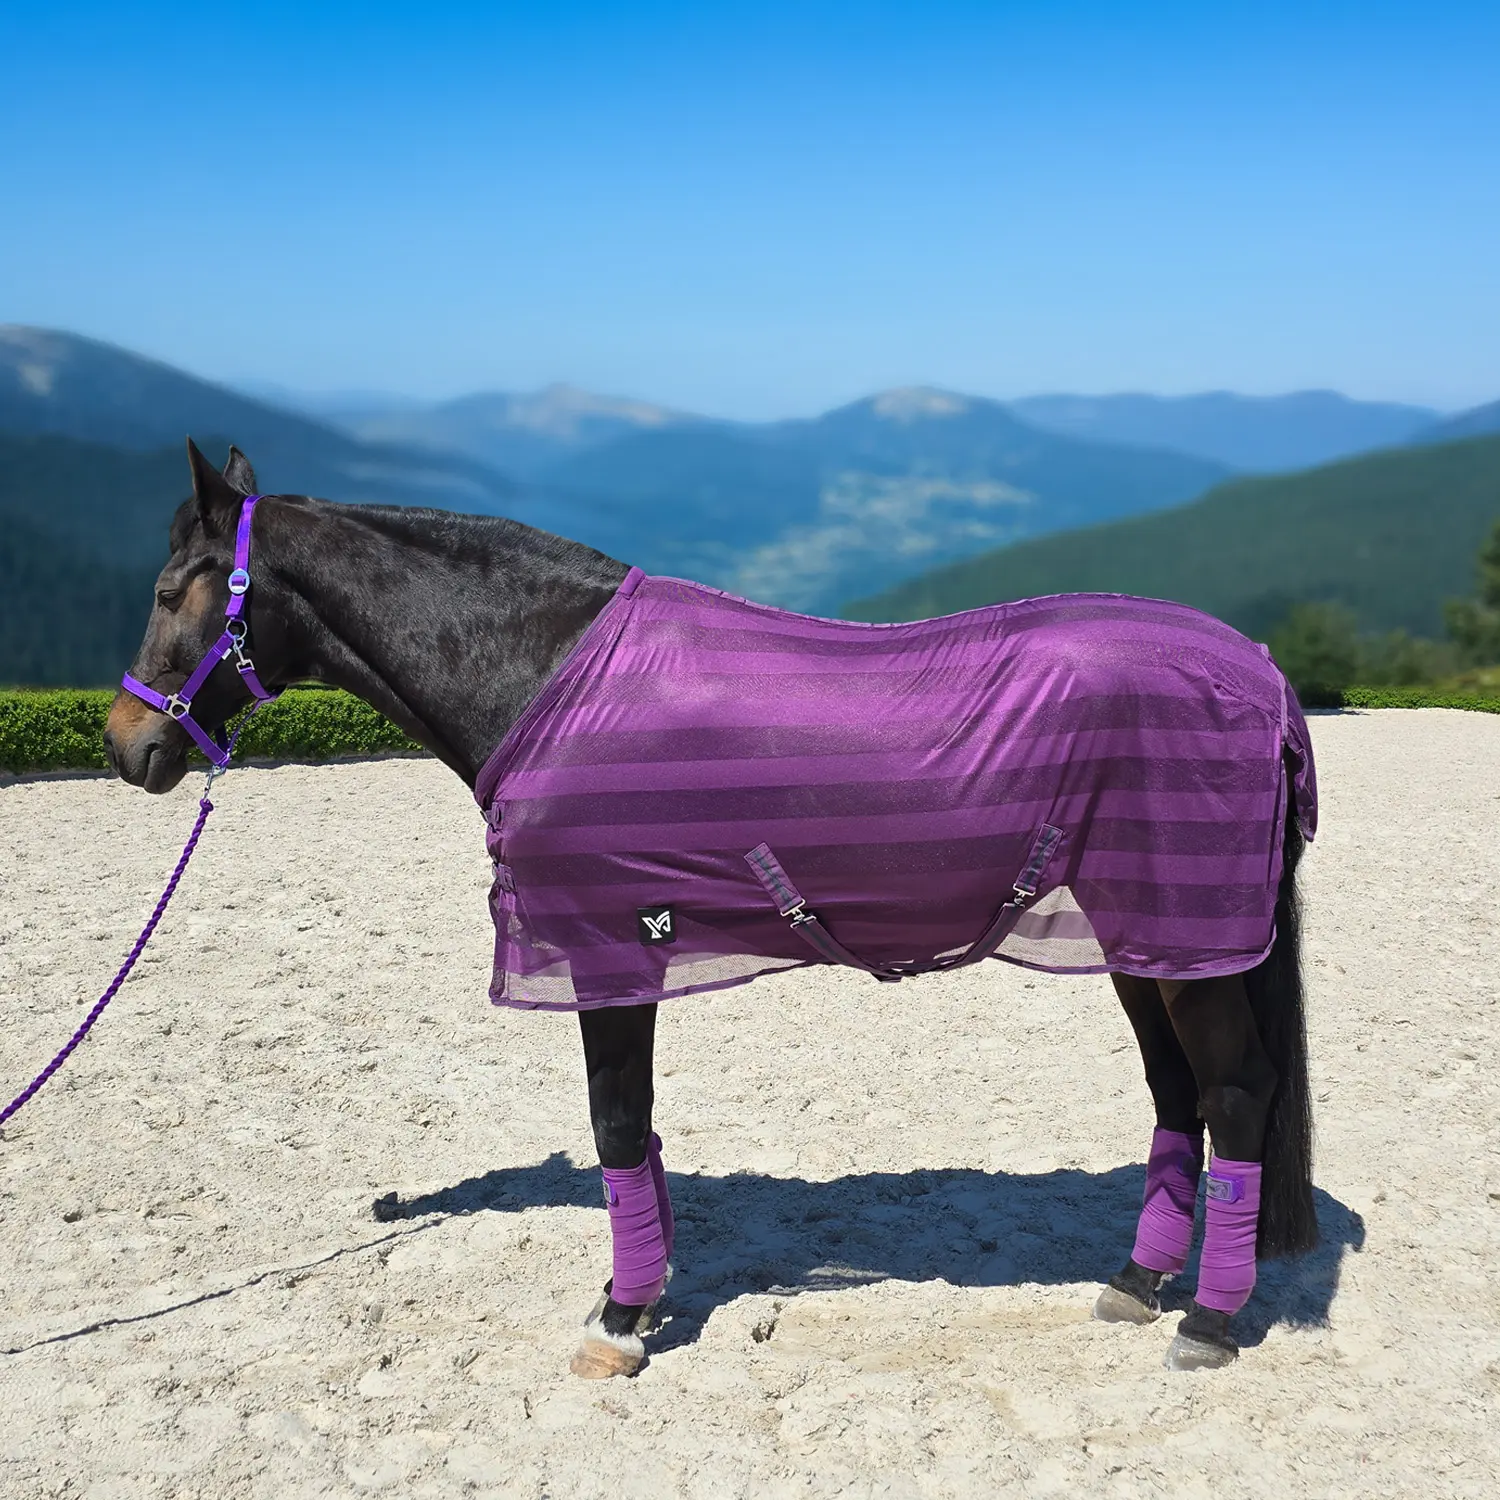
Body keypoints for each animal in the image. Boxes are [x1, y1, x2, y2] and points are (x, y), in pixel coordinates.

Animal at [103, 439, 1319, 1377]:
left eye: (169, 593)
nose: (127, 745)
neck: (547, 671)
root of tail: (1261, 675)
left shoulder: (599, 947)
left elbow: (615, 1122)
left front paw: (620, 1320)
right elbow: (636, 1131)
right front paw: (646, 1290)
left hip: (1186, 942)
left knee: (1235, 1094)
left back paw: (1207, 1321)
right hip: (1152, 940)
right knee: (1178, 1094)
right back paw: (1138, 1281)